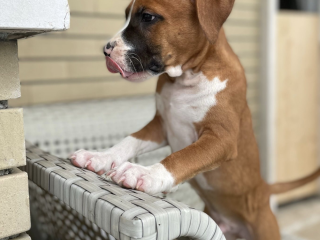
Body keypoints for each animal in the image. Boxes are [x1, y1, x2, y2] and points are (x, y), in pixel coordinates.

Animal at [71, 0, 320, 239]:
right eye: (126, 16)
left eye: (148, 17)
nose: (106, 50)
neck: (188, 76)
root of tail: (263, 187)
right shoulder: (160, 126)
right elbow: (129, 141)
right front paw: (99, 156)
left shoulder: (220, 139)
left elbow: (182, 157)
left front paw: (144, 174)